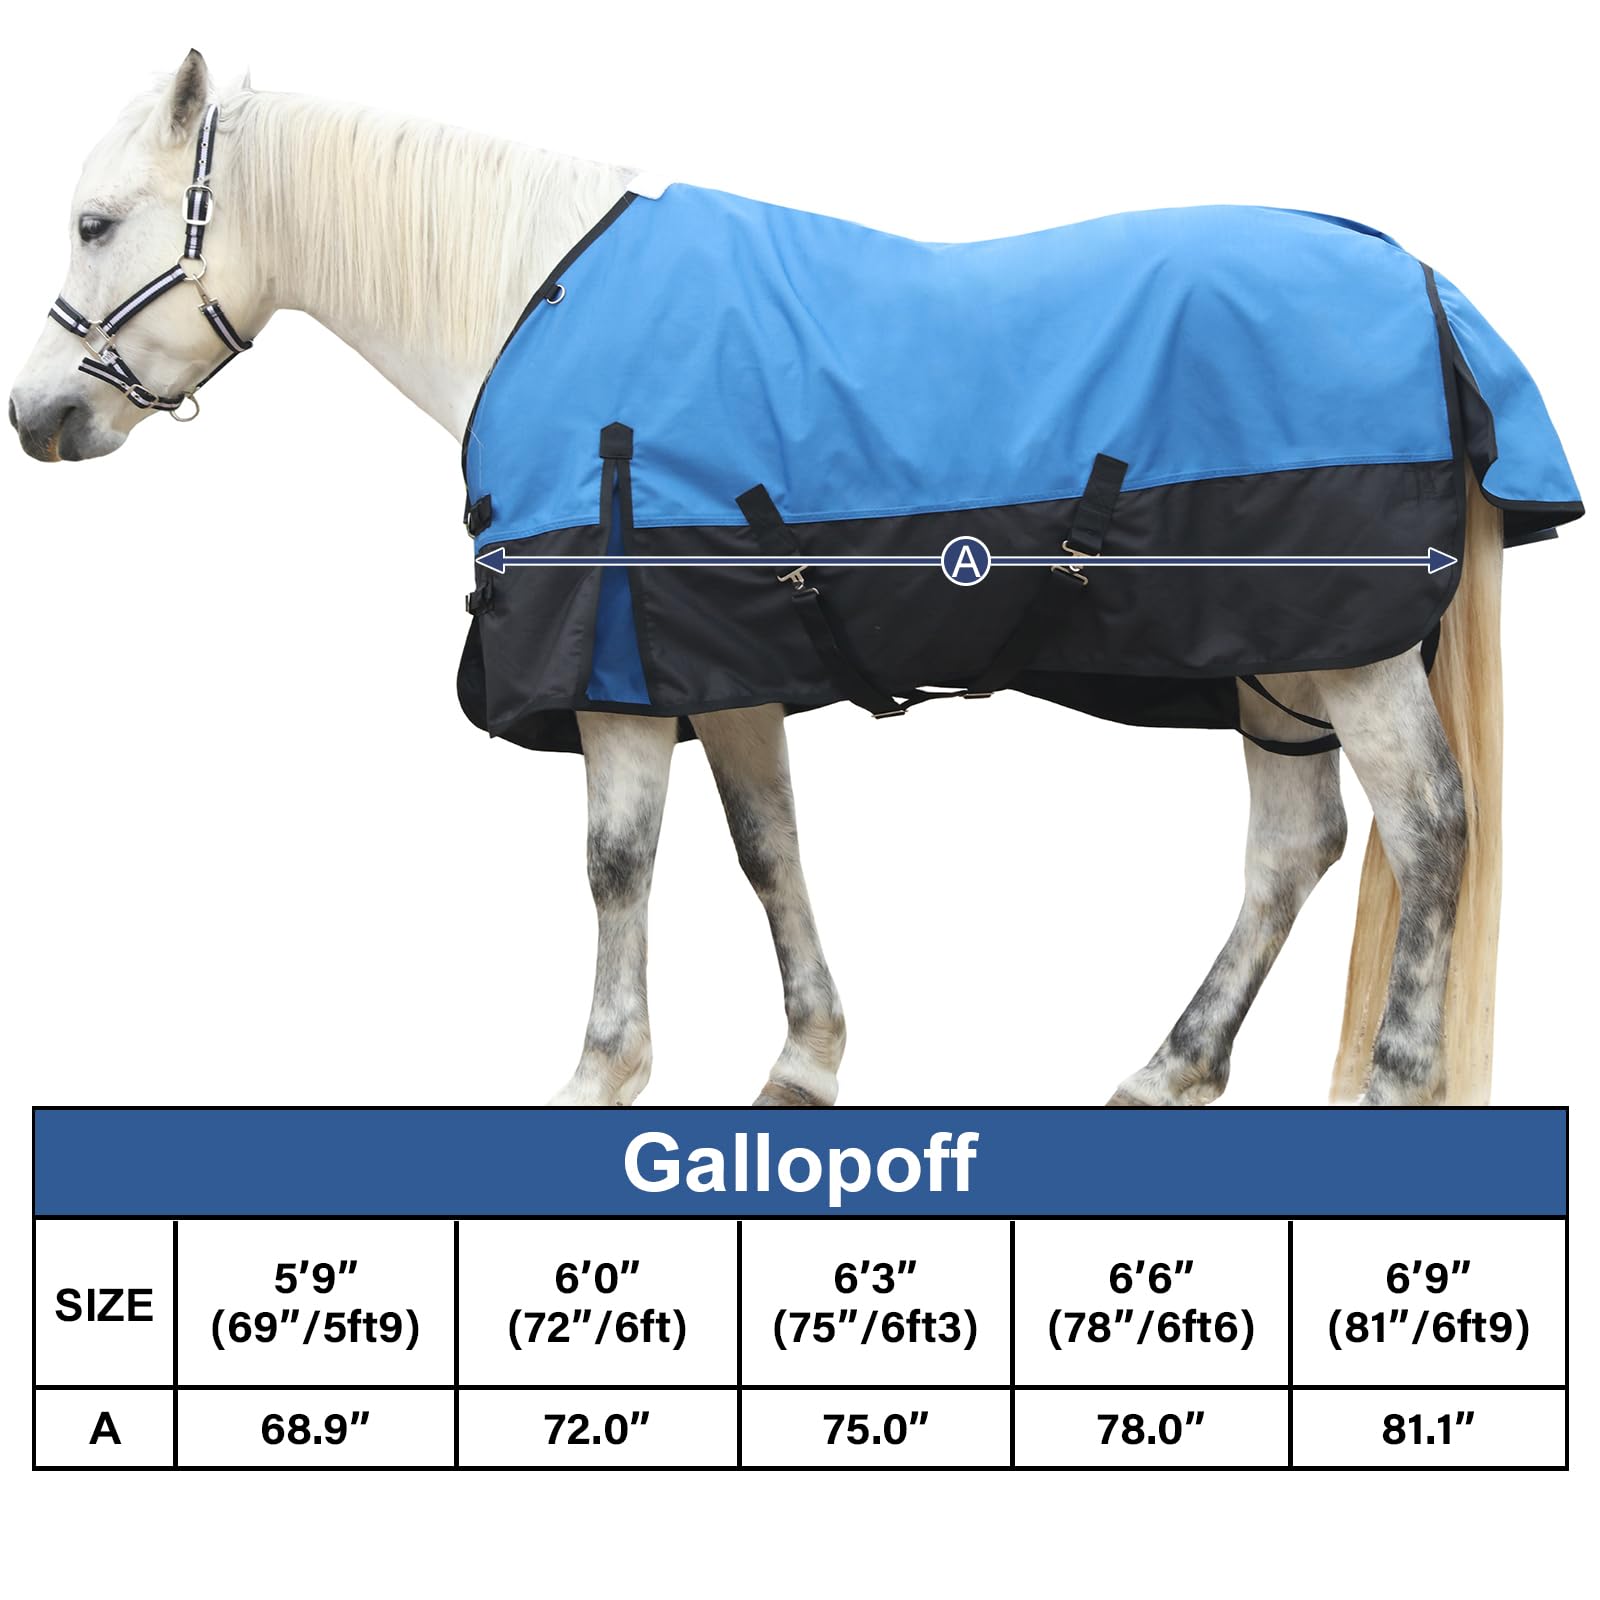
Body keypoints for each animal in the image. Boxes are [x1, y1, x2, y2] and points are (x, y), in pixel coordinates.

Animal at [9, 52, 1570, 1109]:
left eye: (94, 222)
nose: (35, 418)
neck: (533, 295)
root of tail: (1427, 290)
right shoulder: (718, 657)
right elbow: (768, 848)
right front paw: (806, 1063)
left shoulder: (618, 666)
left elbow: (616, 861)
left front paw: (601, 1074)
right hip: (1274, 655)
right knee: (1295, 846)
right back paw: (1166, 1068)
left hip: (1348, 650)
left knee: (1430, 828)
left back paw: (1392, 1078)